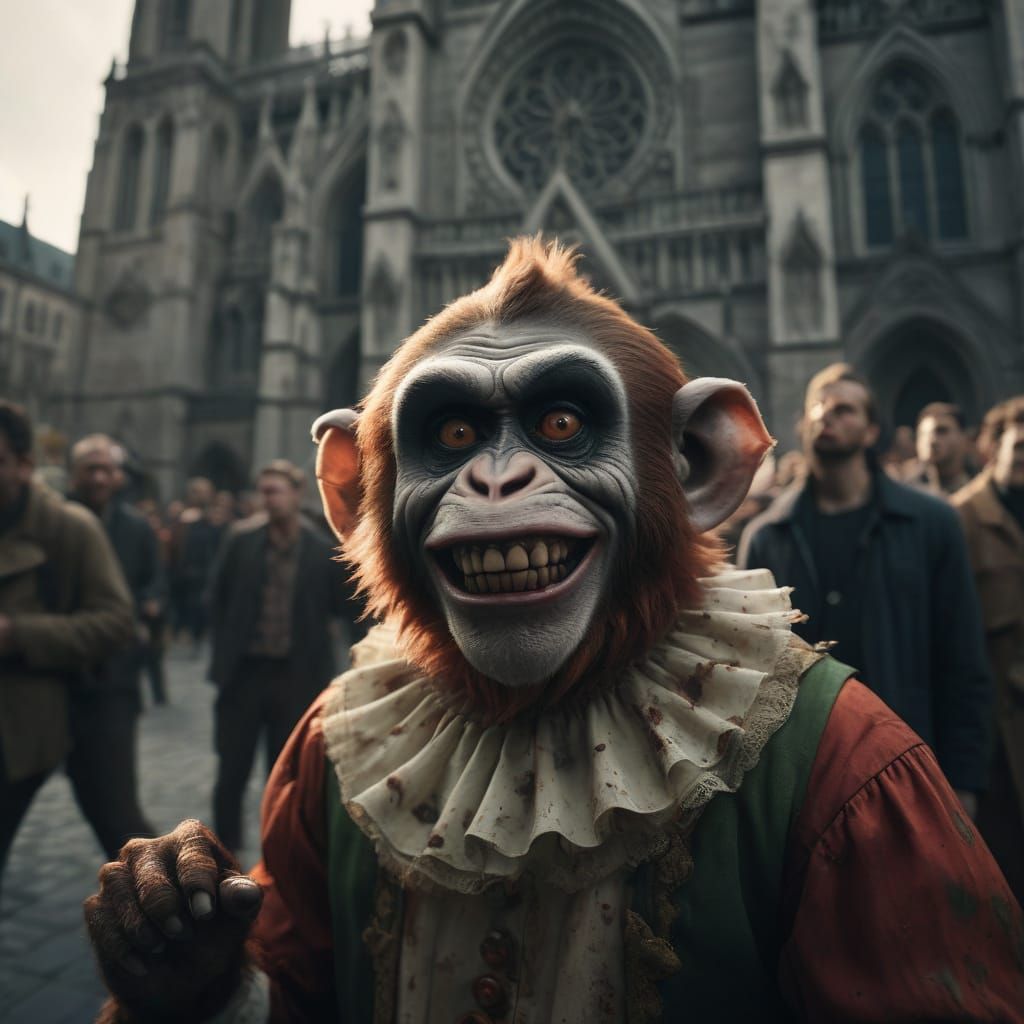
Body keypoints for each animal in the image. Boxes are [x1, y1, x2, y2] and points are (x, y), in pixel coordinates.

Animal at [85, 239, 1023, 1022]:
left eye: (561, 423)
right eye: (455, 432)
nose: (498, 481)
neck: (535, 710)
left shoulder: (879, 788)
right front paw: (176, 936)